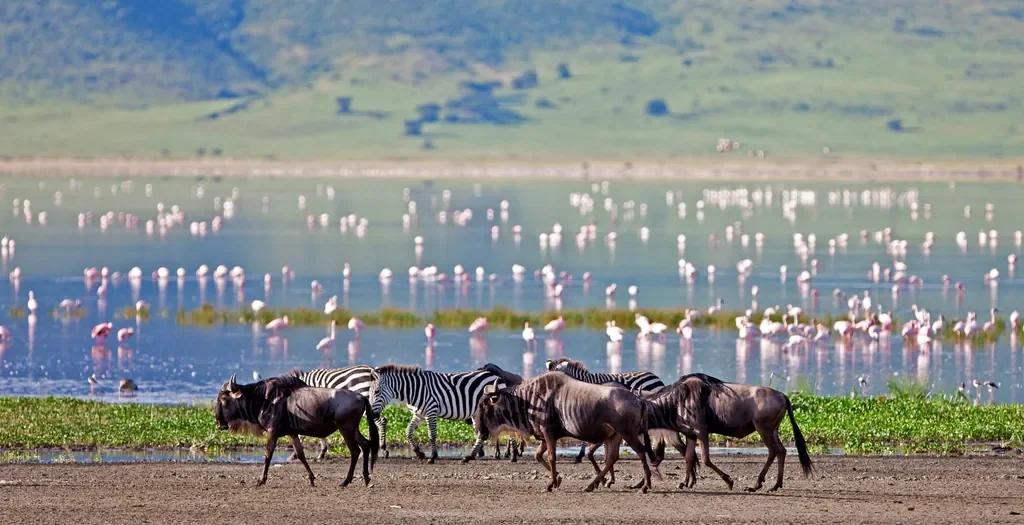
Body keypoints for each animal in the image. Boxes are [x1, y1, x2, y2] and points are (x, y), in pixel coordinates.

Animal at [371, 364, 507, 463]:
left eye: (377, 391)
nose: (372, 414)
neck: (414, 390)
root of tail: (495, 376)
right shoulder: (419, 414)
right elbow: (408, 431)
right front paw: (419, 452)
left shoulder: (431, 411)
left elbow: (432, 435)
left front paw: (433, 456)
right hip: (477, 413)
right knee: (481, 434)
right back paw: (470, 456)